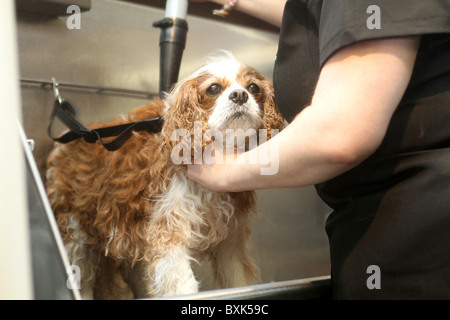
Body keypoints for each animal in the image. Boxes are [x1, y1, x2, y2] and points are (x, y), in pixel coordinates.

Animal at [46, 52, 284, 300]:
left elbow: (240, 279)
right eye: (213, 88)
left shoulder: (231, 241)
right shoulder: (169, 234)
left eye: (254, 87)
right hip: (75, 234)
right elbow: (184, 285)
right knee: (81, 278)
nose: (240, 95)